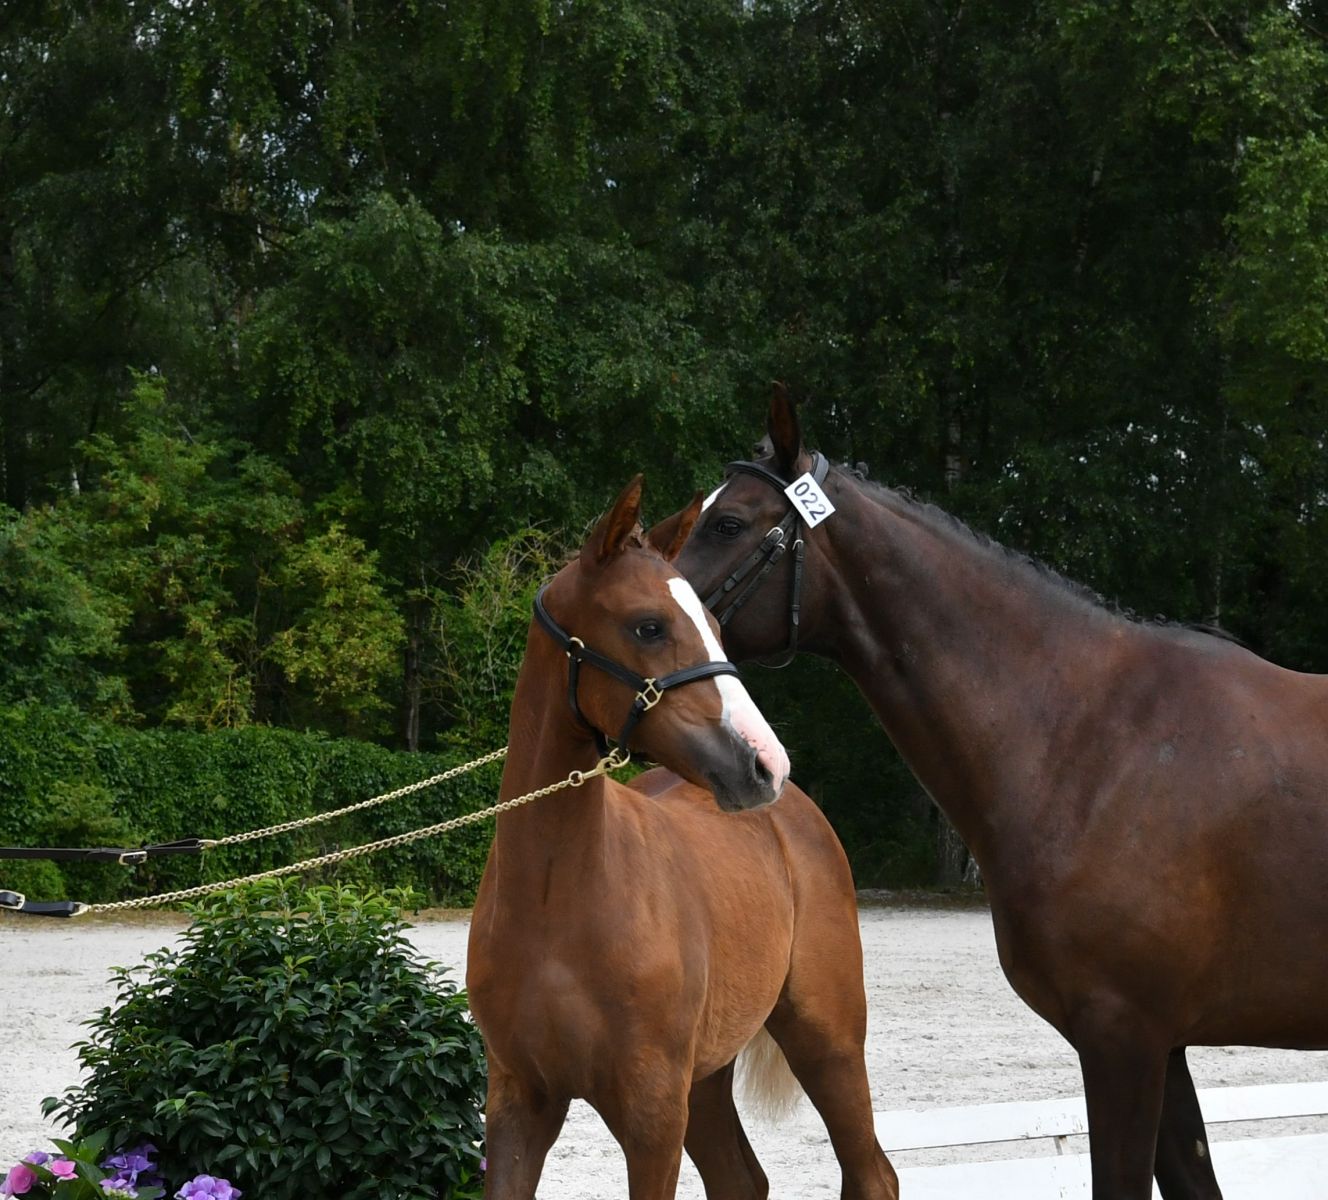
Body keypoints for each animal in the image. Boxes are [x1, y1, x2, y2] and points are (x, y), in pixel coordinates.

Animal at [462, 477, 897, 1200]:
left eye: (716, 628)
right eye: (649, 625)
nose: (764, 765)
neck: (555, 899)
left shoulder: (652, 1114)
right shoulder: (520, 1104)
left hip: (826, 1040)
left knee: (871, 1173)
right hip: (708, 1077)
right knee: (742, 1179)